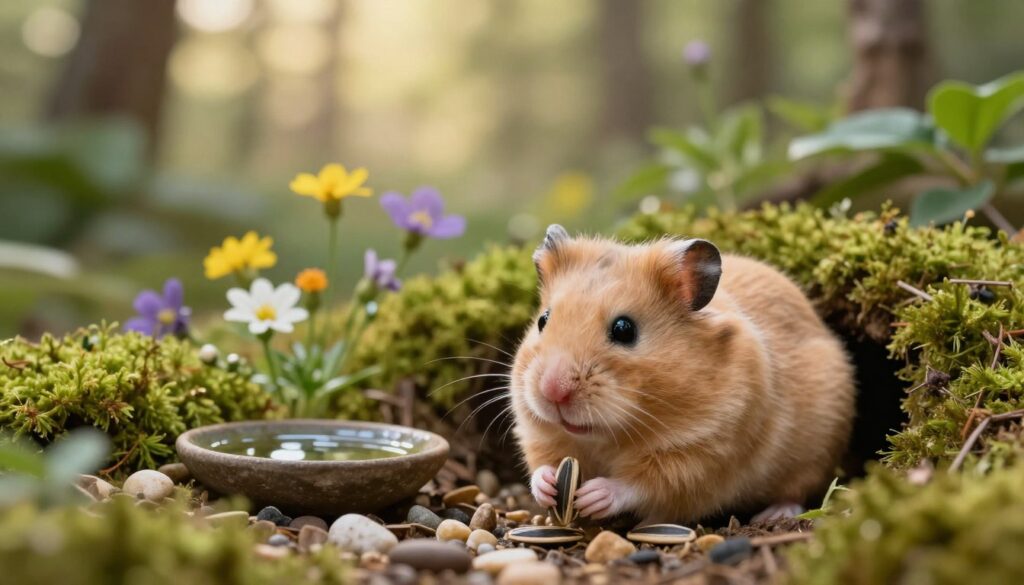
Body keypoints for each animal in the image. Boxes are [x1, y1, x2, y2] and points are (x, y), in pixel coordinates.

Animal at [510, 225, 855, 524]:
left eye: (624, 329)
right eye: (543, 320)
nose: (553, 391)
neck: (607, 437)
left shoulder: (701, 455)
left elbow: (642, 484)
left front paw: (594, 495)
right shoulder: (539, 435)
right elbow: (541, 464)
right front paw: (548, 485)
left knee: (798, 490)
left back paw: (774, 515)